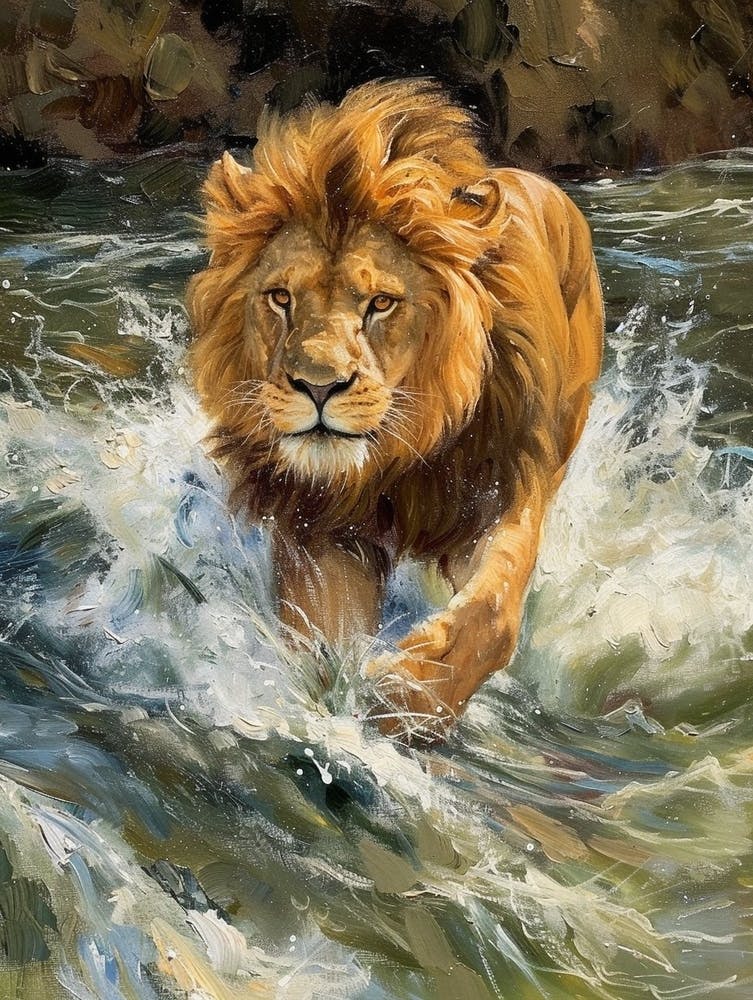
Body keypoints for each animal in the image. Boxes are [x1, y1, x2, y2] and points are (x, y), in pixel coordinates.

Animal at [188, 79, 604, 740]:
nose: (318, 386)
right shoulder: (325, 529)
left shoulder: (505, 491)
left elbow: (491, 615)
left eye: (380, 303)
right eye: (280, 297)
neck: (398, 458)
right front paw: (329, 706)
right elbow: (321, 635)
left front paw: (406, 697)